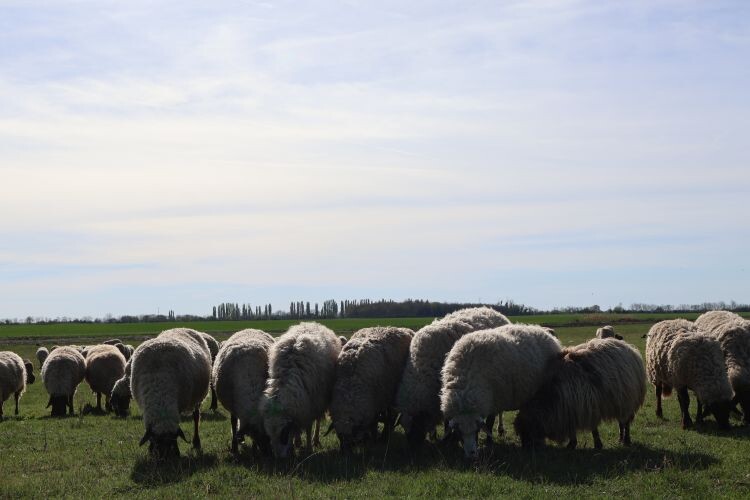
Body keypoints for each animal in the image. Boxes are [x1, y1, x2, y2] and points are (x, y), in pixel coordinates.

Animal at [131, 326, 212, 458]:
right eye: (155, 441)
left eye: (174, 440)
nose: (165, 459)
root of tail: (181, 327)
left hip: (198, 398)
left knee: (196, 417)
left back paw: (196, 442)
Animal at [258, 322, 340, 458]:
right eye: (269, 435)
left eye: (283, 433)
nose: (279, 458)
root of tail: (312, 323)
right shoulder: (299, 407)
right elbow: (296, 428)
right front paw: (295, 444)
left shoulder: (310, 405)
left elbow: (308, 427)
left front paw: (309, 449)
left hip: (320, 399)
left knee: (318, 421)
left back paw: (315, 440)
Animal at [394, 306, 512, 448]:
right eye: (404, 427)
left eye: (417, 424)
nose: (413, 448)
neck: (421, 368)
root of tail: (491, 310)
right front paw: (436, 435)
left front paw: (449, 439)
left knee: (498, 411)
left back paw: (500, 429)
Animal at [440, 326, 564, 458]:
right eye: (459, 433)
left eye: (477, 430)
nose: (471, 455)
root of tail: (544, 331)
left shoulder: (494, 400)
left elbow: (489, 423)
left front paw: (489, 442)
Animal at [516, 340, 648, 450]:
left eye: (527, 432)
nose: (526, 450)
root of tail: (628, 346)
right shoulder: (572, 410)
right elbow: (574, 429)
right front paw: (572, 444)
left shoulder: (587, 406)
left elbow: (593, 429)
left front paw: (596, 445)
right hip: (620, 402)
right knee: (621, 423)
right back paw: (620, 439)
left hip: (628, 401)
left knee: (626, 423)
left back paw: (626, 440)